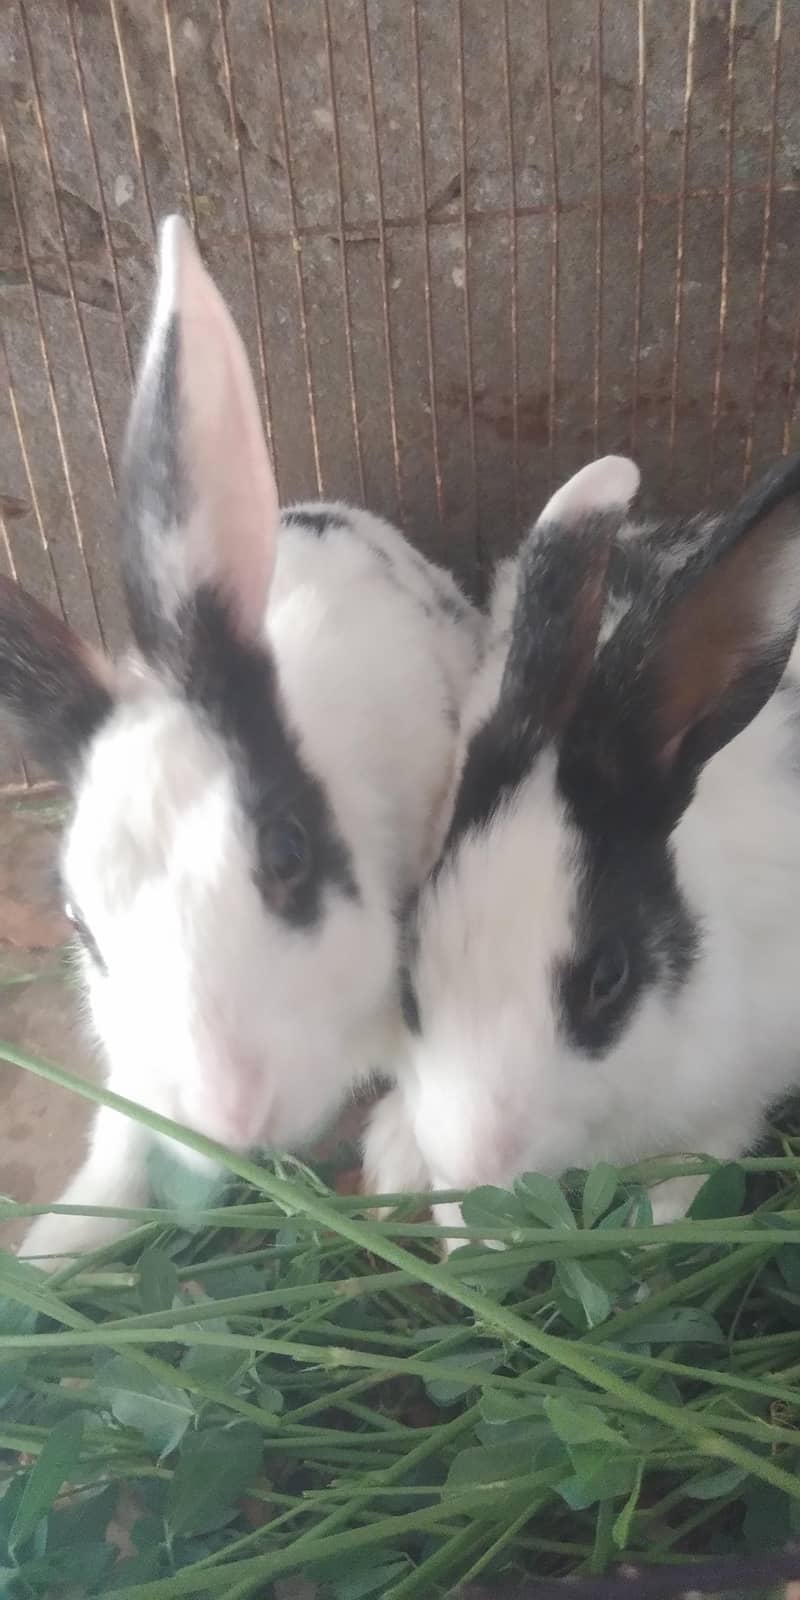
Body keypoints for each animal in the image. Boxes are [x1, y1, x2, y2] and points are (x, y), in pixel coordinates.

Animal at [0, 214, 483, 1265]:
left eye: (287, 852)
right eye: (78, 924)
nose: (232, 1110)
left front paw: (401, 1163)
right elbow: (120, 1136)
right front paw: (55, 1244)